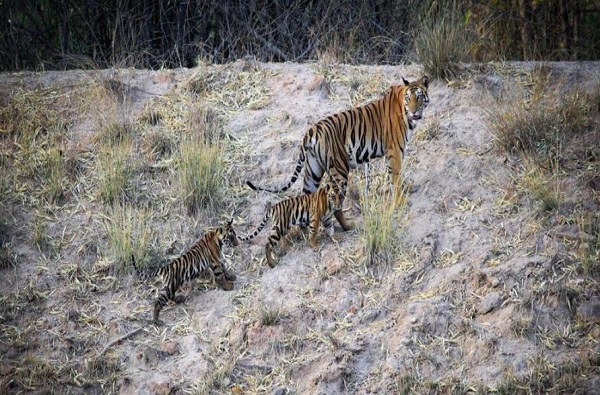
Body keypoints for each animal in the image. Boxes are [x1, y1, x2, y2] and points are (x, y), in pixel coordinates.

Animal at [246, 76, 428, 229]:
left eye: (419, 97)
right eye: (409, 99)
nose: (414, 112)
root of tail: (311, 131)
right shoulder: (395, 150)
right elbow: (396, 176)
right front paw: (400, 199)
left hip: (313, 171)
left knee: (307, 197)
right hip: (339, 171)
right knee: (336, 204)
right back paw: (348, 226)